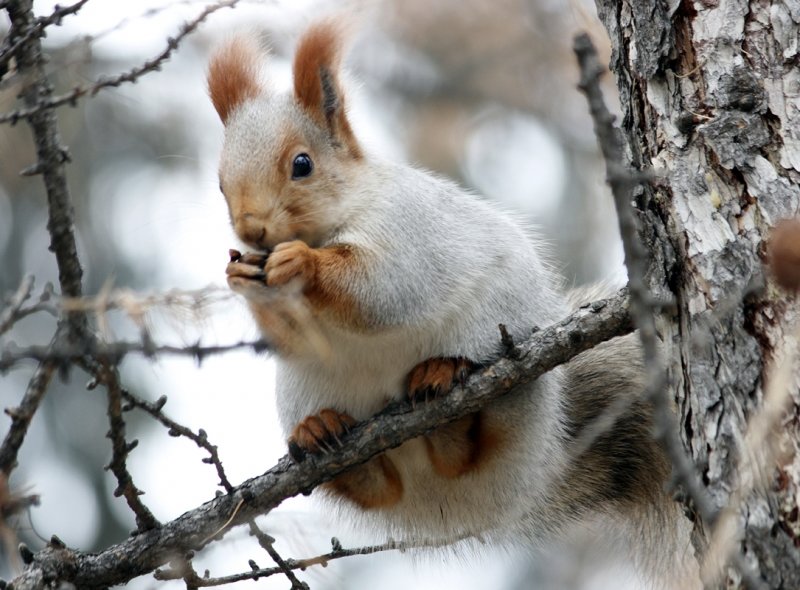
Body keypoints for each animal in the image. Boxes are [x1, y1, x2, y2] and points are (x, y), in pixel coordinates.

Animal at [209, 20, 696, 588]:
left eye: (302, 165)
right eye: (220, 182)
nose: (250, 230)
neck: (339, 215)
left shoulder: (408, 230)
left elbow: (383, 289)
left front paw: (302, 263)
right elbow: (290, 334)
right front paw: (241, 276)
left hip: (506, 374)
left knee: (468, 446)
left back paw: (445, 395)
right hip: (303, 389)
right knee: (377, 488)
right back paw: (323, 435)